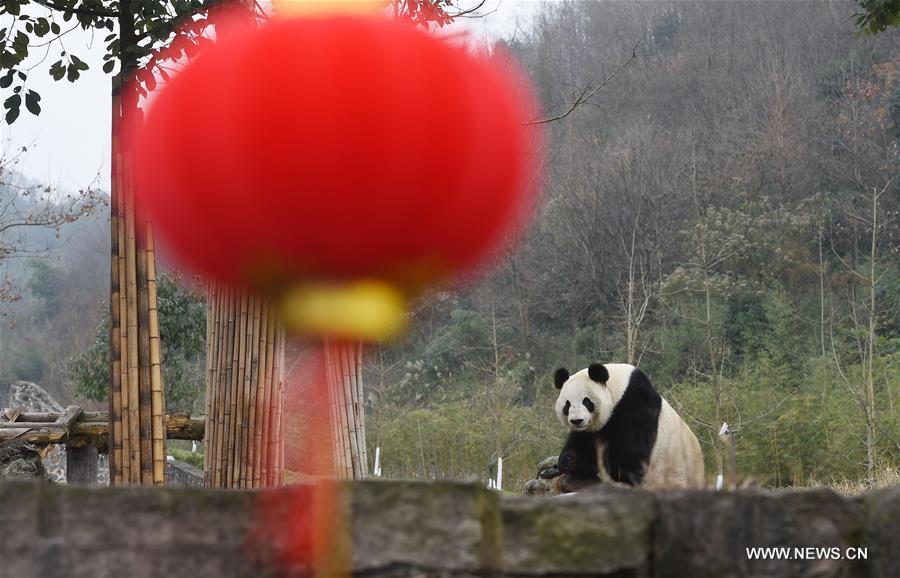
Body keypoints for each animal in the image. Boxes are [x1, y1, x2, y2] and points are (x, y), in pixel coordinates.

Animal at [544, 362, 708, 488]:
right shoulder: (594, 428)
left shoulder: (634, 405)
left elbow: (632, 457)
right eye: (567, 405)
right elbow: (582, 443)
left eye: (587, 402)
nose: (577, 421)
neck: (618, 388)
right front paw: (562, 465)